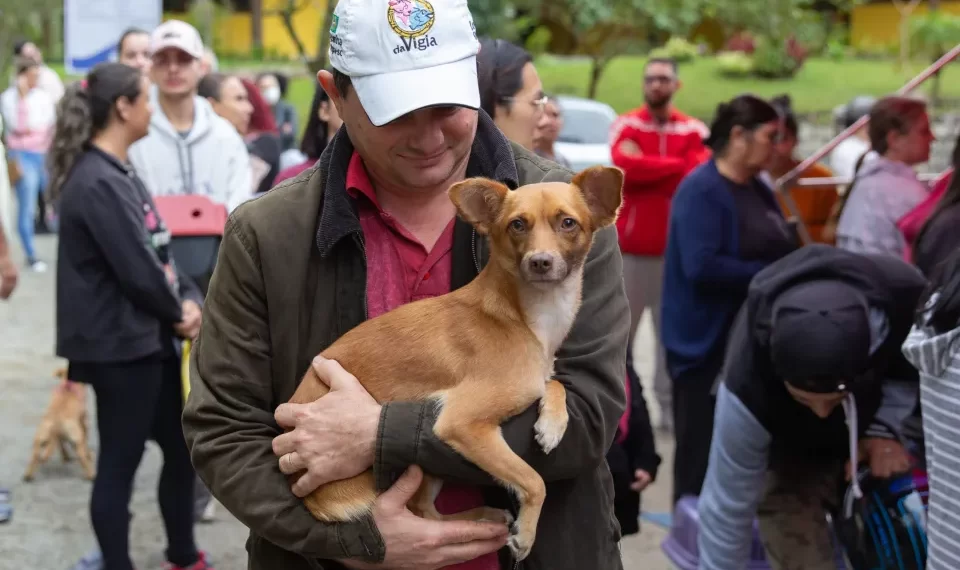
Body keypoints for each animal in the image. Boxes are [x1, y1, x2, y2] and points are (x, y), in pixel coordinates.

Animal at [286, 163, 624, 556]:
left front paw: (552, 424)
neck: (526, 316)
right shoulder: (462, 424)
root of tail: (313, 500)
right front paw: (527, 534)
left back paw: (477, 518)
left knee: (427, 511)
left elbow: (554, 383)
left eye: (568, 223)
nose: (540, 262)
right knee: (424, 513)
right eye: (517, 225)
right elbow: (534, 479)